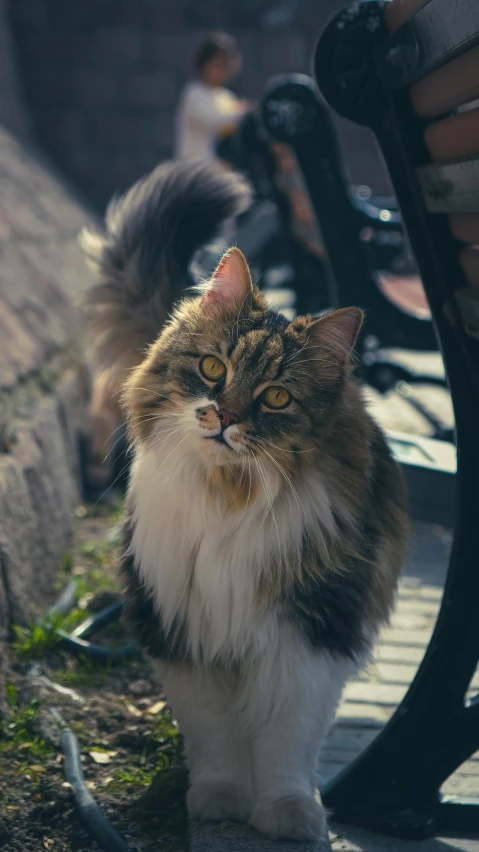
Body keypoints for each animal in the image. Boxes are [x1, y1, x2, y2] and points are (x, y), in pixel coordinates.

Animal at [81, 161, 408, 844]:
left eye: (277, 398)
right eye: (212, 368)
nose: (226, 416)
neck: (230, 498)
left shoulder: (310, 634)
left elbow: (286, 742)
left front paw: (289, 814)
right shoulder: (183, 630)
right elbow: (216, 738)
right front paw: (221, 801)